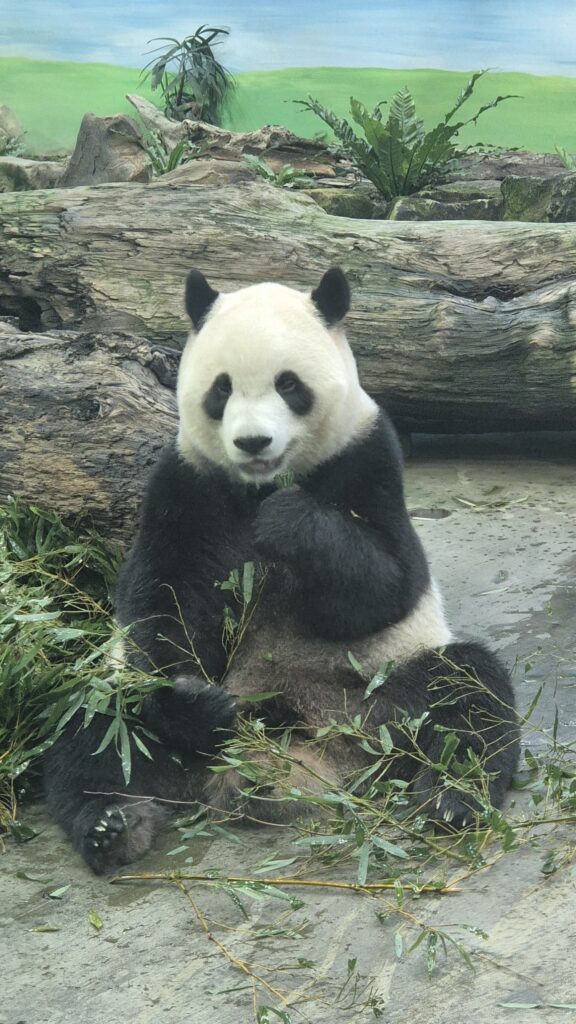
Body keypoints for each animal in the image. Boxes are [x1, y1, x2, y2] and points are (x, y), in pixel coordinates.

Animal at [44, 267, 519, 874]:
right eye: (221, 389)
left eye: (289, 385)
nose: (253, 442)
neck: (259, 484)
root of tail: (298, 767)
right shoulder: (186, 483)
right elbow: (162, 601)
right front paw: (194, 703)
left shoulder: (369, 457)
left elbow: (391, 582)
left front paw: (289, 523)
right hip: (131, 710)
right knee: (95, 725)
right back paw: (113, 824)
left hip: (378, 694)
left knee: (468, 693)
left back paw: (451, 800)